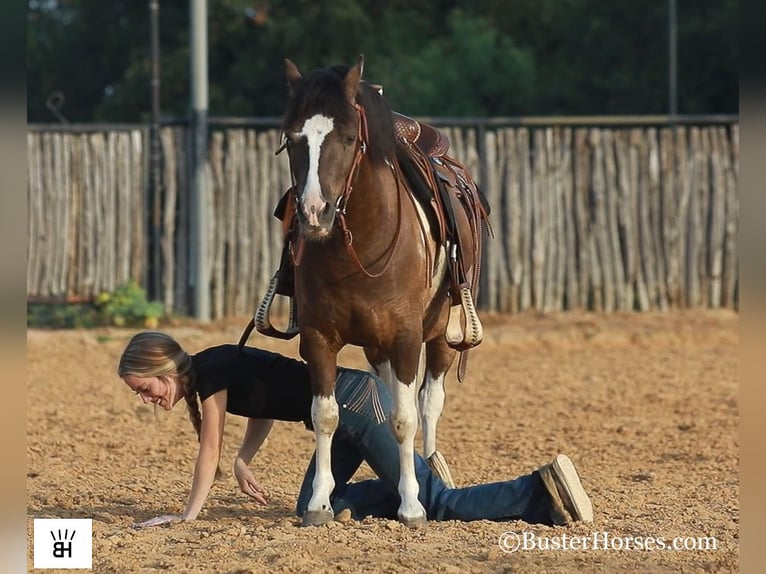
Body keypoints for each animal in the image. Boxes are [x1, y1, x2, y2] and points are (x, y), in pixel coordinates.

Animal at [278, 56, 480, 528]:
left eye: (349, 137)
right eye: (292, 137)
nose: (313, 212)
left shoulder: (406, 338)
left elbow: (405, 418)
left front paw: (412, 505)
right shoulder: (318, 338)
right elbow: (326, 415)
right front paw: (319, 503)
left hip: (440, 336)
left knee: (429, 403)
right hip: (377, 347)